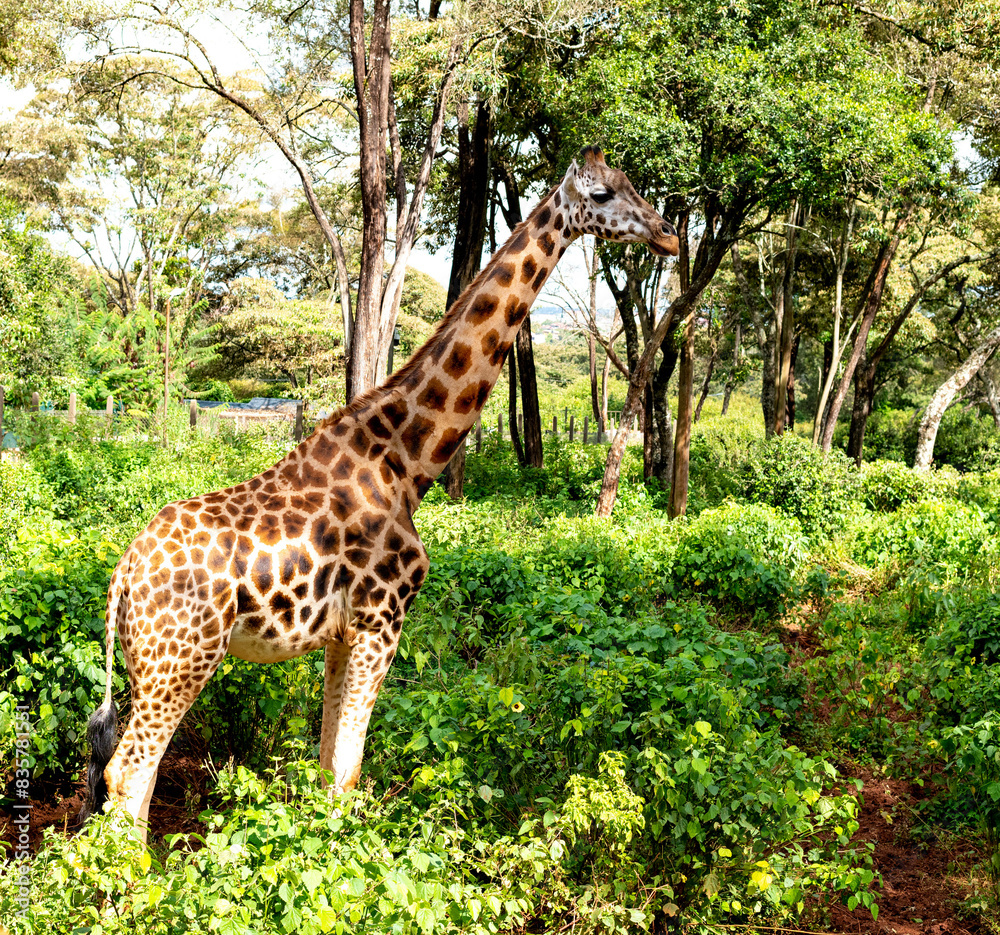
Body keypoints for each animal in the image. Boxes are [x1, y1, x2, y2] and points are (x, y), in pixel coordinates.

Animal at [78, 146, 679, 838]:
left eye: (633, 183)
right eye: (603, 194)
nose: (668, 233)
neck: (406, 462)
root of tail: (122, 576)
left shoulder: (344, 634)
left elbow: (326, 767)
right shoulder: (381, 622)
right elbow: (347, 772)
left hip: (151, 665)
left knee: (133, 779)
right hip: (183, 658)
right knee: (127, 775)